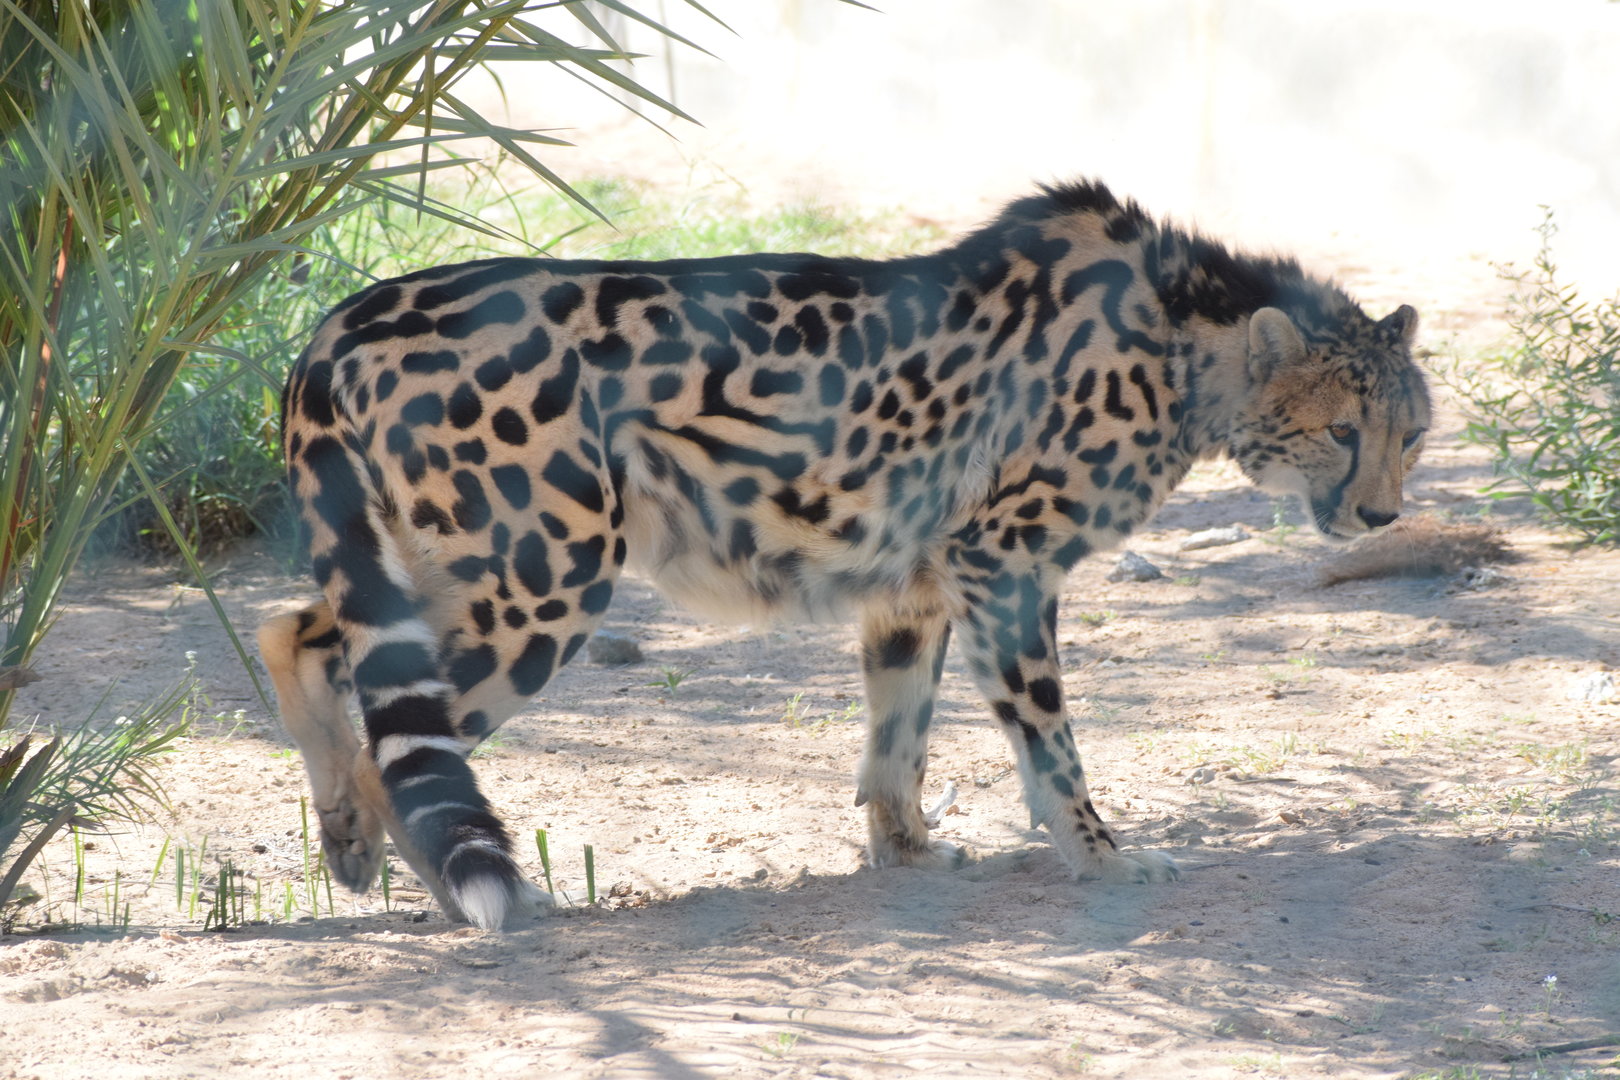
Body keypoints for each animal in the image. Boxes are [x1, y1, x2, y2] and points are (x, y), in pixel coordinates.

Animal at [258, 179, 1430, 930]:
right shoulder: (1003, 564)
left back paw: (348, 842)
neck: (1181, 340)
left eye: (1411, 434)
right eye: (1340, 431)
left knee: (301, 634)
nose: (1380, 516)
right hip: (546, 578)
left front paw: (906, 856)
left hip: (442, 561)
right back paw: (446, 882)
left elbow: (898, 736)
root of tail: (347, 314)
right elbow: (1050, 746)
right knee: (393, 738)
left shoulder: (918, 581)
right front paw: (1105, 858)